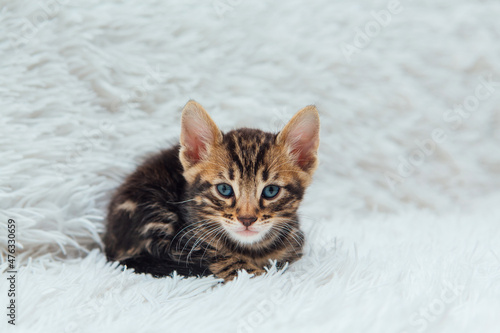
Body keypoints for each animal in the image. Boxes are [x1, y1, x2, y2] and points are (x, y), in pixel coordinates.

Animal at [104, 101, 320, 280]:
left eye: (271, 191)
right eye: (224, 189)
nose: (247, 219)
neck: (252, 249)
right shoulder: (186, 247)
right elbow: (226, 262)